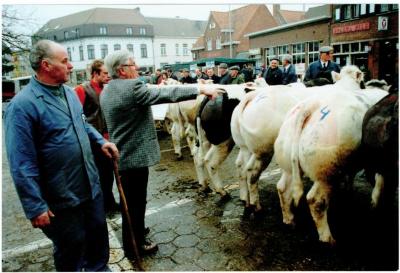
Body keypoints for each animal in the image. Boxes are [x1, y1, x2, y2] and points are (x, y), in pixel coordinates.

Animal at [276, 86, 388, 243]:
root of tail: (311, 106)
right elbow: (380, 183)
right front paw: (376, 204)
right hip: (326, 172)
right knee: (315, 200)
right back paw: (327, 239)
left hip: (289, 163)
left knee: (282, 188)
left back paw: (289, 220)